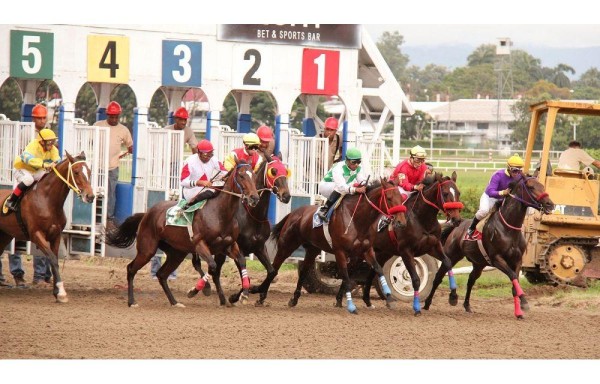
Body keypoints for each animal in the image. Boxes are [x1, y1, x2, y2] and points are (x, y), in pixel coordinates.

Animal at [0, 152, 95, 302]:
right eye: (76, 172)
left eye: (89, 172)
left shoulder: (56, 235)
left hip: (5, 235)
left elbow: (54, 259)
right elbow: (52, 259)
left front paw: (57, 292)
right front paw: (61, 292)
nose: (90, 196)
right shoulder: (36, 235)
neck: (48, 201)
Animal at [104, 160, 258, 308]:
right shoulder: (200, 244)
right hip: (147, 249)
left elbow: (241, 261)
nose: (254, 198)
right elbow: (213, 266)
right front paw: (195, 290)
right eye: (241, 176)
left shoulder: (228, 245)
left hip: (177, 253)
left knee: (161, 275)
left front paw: (244, 294)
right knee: (131, 269)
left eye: (254, 176)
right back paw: (132, 302)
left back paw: (174, 302)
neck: (220, 214)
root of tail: (146, 214)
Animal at [253, 178, 408, 314]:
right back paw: (261, 296)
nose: (401, 222)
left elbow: (378, 270)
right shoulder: (340, 251)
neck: (357, 219)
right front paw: (350, 306)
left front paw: (389, 298)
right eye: (389, 198)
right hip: (286, 246)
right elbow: (346, 277)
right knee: (274, 268)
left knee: (303, 271)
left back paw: (294, 299)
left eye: (401, 197)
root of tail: (294, 213)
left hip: (312, 249)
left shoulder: (366, 250)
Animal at [352, 171, 464, 316]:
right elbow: (415, 279)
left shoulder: (433, 246)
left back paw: (367, 300)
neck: (421, 219)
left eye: (458, 193)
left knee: (373, 271)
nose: (457, 219)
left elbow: (448, 263)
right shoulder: (406, 251)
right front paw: (416, 307)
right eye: (445, 193)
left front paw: (453, 297)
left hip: (382, 252)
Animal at [424, 174, 556, 318]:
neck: (509, 229)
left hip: (479, 263)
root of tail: (457, 226)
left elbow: (514, 283)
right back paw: (428, 303)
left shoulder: (517, 260)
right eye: (531, 187)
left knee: (471, 280)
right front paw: (524, 302)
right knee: (438, 277)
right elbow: (513, 276)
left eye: (542, 186)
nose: (550, 204)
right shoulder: (496, 259)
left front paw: (519, 311)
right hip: (452, 255)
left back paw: (467, 305)